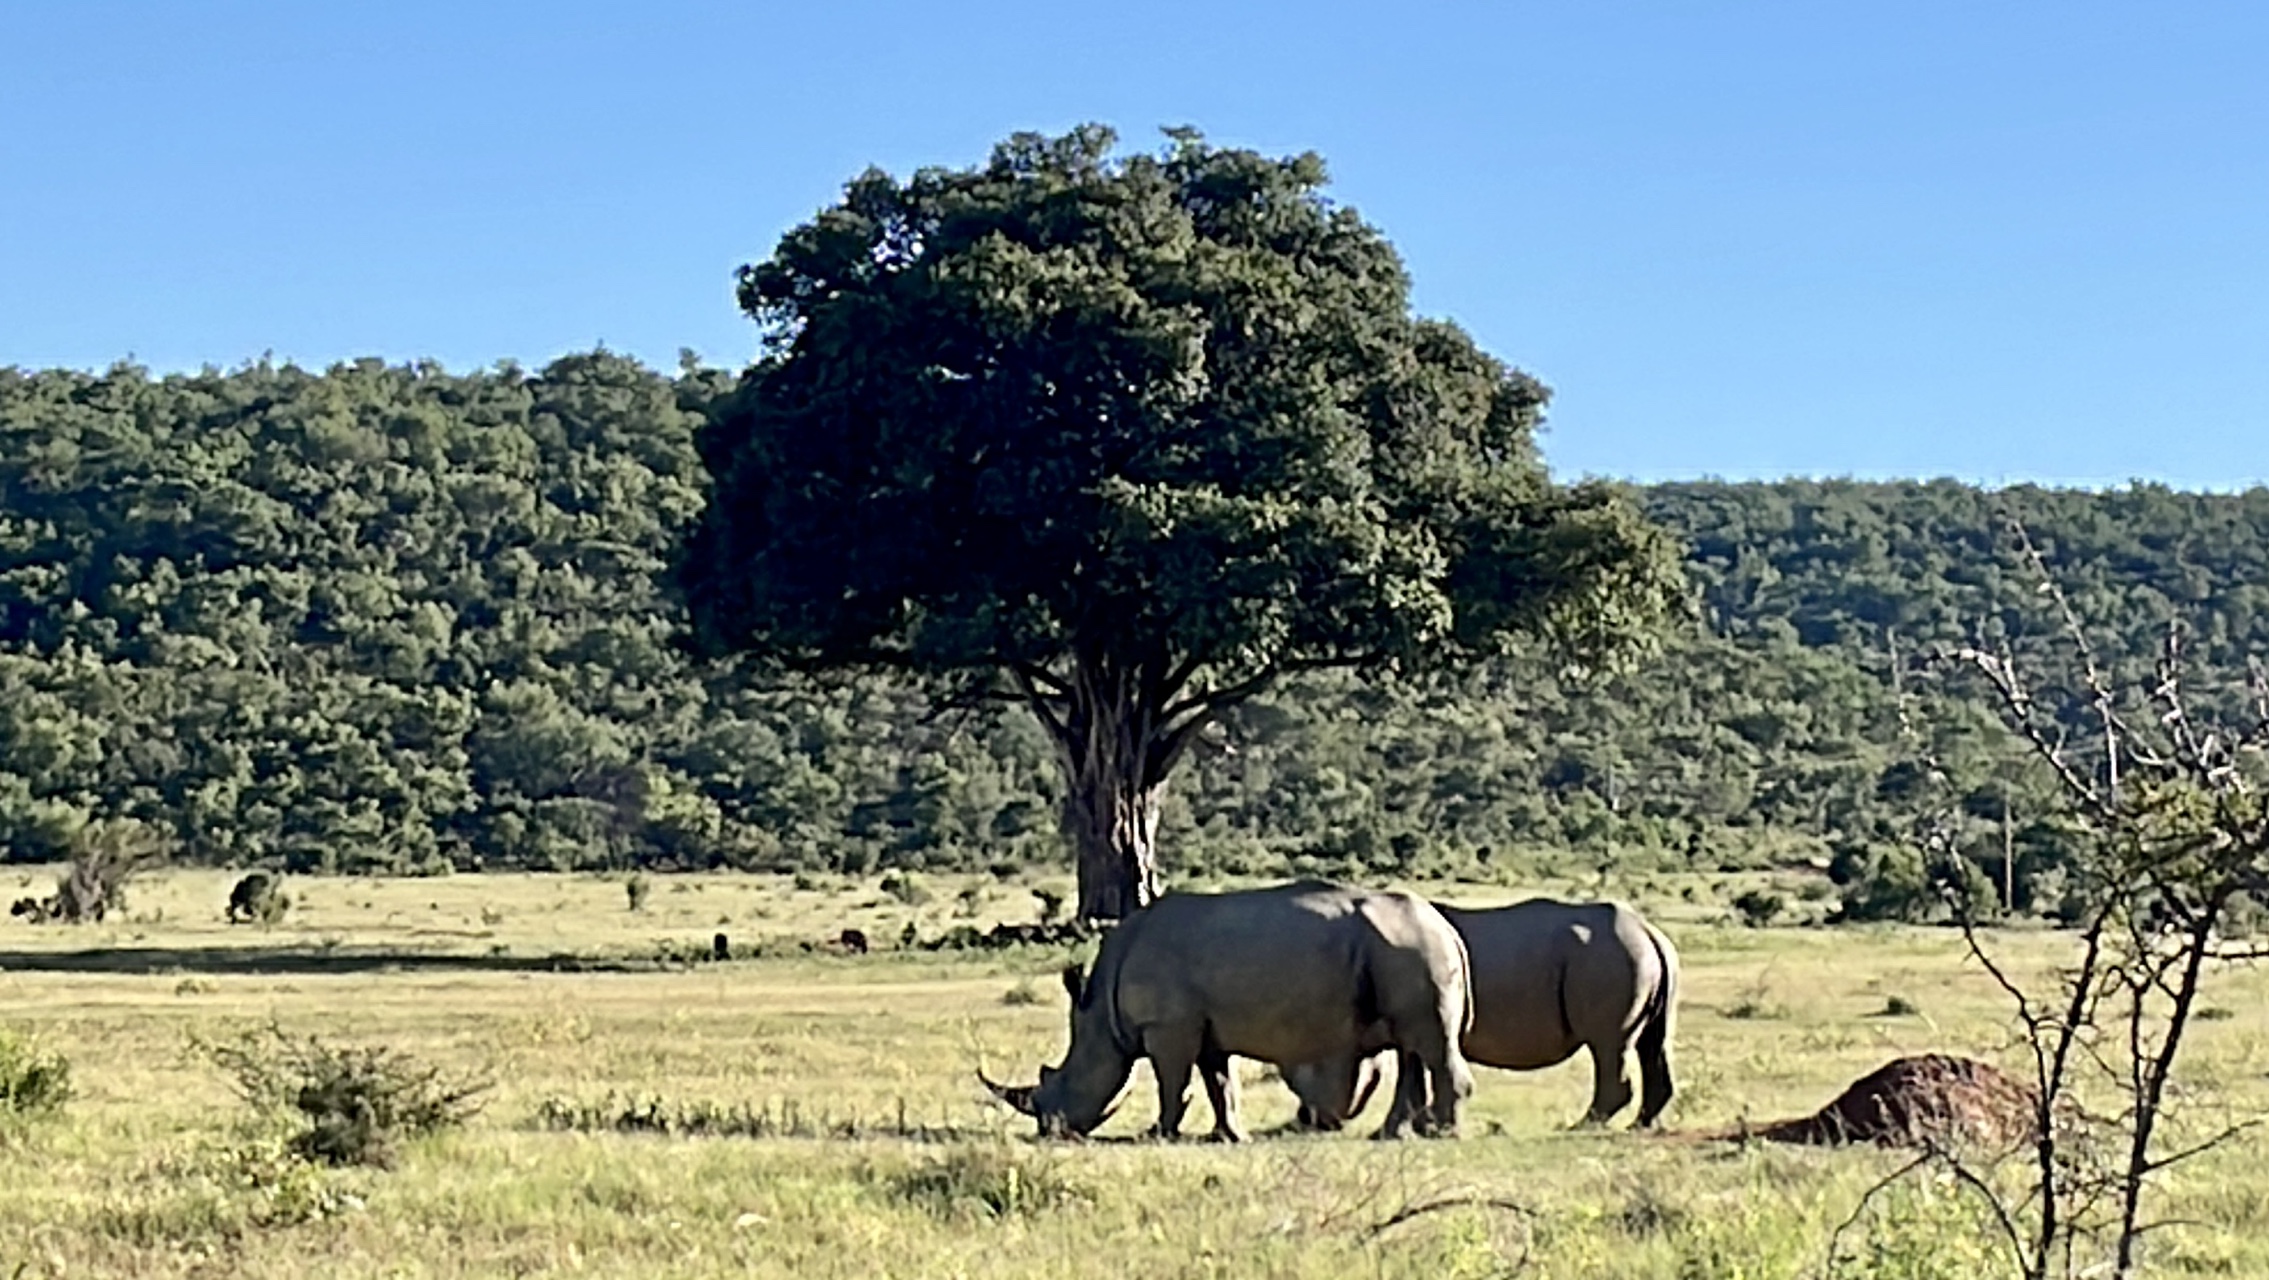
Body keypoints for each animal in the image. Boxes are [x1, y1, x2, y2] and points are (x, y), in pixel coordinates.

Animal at [982, 881, 1474, 1141]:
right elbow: (1219, 1083)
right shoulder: (1205, 1028)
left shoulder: (1168, 1027)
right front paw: (1229, 1136)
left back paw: (1444, 1133)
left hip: (1411, 948)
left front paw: (1158, 1134)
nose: (1049, 1130)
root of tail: (1448, 931)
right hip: (1407, 950)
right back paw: (1393, 1134)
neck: (1099, 1011)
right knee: (1410, 1046)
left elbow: (1173, 1083)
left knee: (1428, 1045)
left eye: (1059, 1081)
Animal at [1283, 898, 1678, 1131]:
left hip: (1611, 959)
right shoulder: (1413, 1021)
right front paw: (1420, 1126)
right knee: (1651, 1043)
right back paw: (1641, 1126)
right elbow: (1414, 1068)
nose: (1304, 1121)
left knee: (1608, 1046)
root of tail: (1649, 932)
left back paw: (1582, 1127)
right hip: (1641, 957)